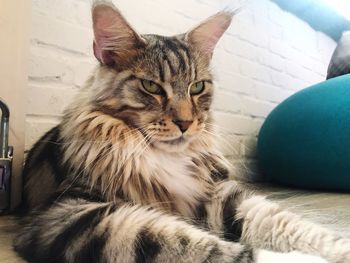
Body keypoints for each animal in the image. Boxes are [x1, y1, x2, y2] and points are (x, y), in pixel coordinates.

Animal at [13, 1, 350, 262]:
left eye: (197, 87)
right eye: (150, 86)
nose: (186, 123)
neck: (163, 158)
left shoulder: (217, 195)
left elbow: (286, 222)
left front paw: (339, 249)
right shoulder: (69, 215)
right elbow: (192, 244)